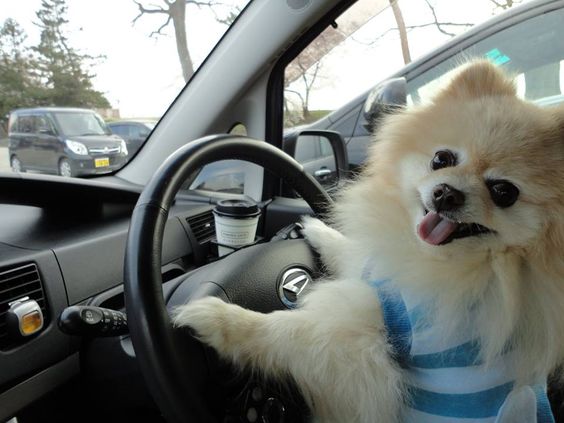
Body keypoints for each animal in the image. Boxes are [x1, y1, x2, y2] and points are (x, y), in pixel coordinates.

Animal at [173, 61, 564, 422]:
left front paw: (216, 317)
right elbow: (350, 252)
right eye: (442, 159)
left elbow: (286, 332)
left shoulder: (367, 352)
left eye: (504, 192)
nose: (446, 193)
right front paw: (314, 227)